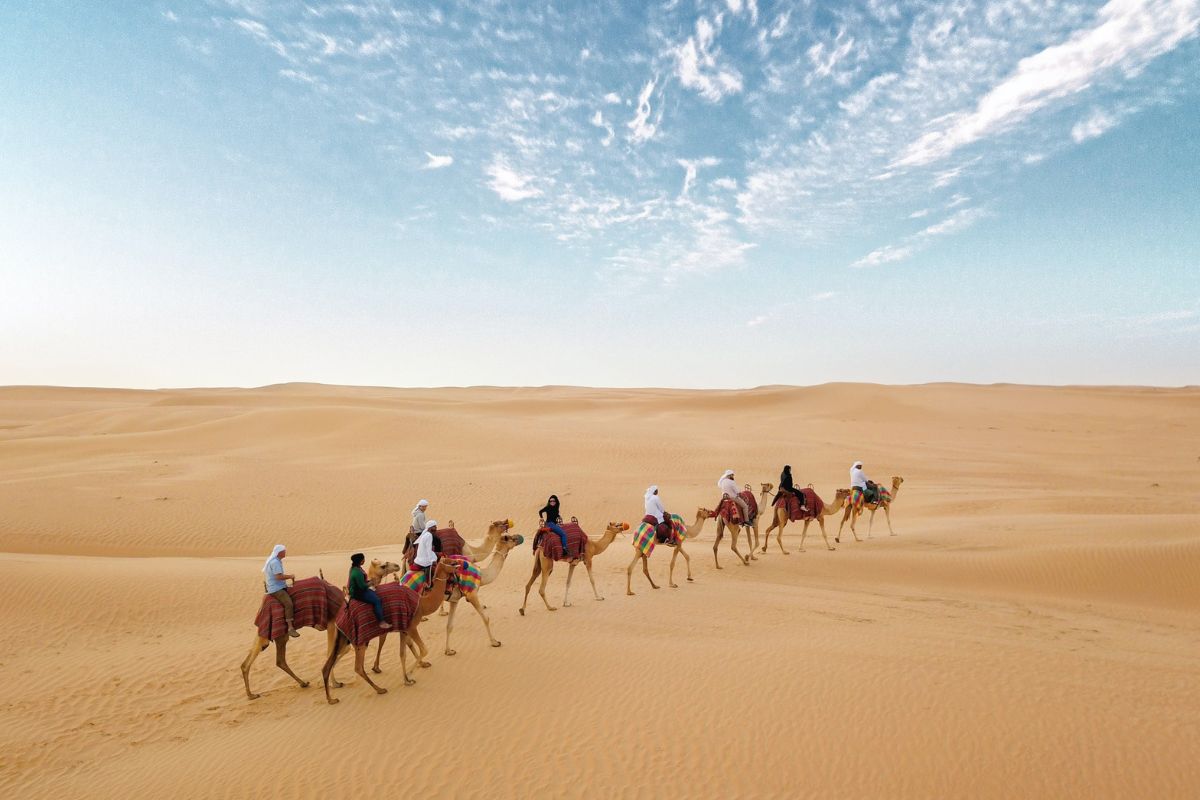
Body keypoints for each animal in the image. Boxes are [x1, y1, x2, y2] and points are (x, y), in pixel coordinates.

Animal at [321, 554, 456, 705]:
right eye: (451, 563)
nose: (459, 565)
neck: (422, 604)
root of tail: (340, 615)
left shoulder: (403, 630)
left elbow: (402, 654)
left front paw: (407, 679)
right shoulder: (411, 627)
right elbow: (424, 649)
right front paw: (410, 674)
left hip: (343, 637)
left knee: (328, 664)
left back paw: (331, 697)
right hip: (359, 641)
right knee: (357, 667)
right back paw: (379, 689)